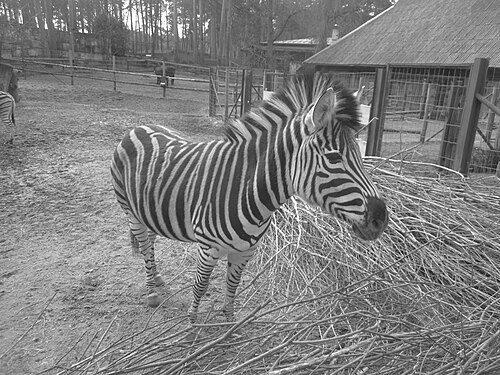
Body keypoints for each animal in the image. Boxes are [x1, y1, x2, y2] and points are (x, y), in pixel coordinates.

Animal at [111, 72, 388, 324]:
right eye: (334, 158)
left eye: (360, 154)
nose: (381, 219)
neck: (249, 191)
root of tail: (139, 127)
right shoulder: (207, 248)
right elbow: (200, 286)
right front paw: (191, 328)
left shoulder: (245, 251)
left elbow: (232, 287)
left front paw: (230, 326)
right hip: (130, 211)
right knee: (144, 243)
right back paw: (152, 292)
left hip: (149, 208)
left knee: (150, 240)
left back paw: (157, 278)